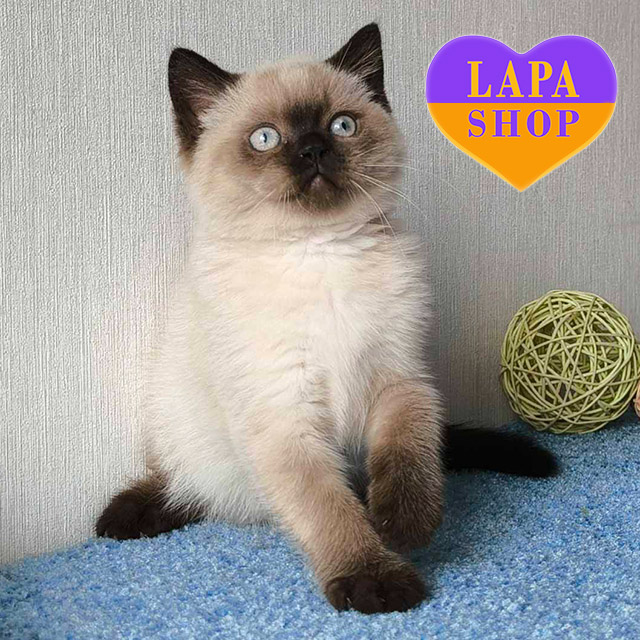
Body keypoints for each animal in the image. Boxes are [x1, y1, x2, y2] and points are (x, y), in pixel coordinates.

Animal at [96, 24, 558, 614]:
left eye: (342, 125)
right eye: (264, 139)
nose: (314, 150)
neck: (320, 252)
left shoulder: (400, 379)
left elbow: (409, 454)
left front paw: (403, 525)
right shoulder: (284, 416)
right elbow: (328, 509)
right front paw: (376, 582)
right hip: (185, 431)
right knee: (190, 485)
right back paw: (126, 515)